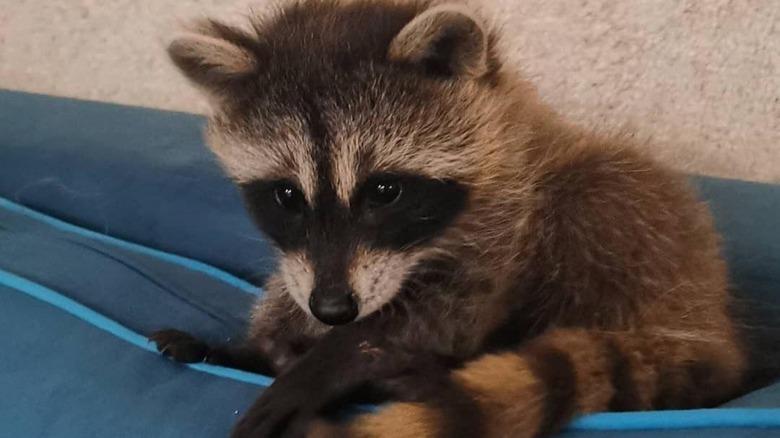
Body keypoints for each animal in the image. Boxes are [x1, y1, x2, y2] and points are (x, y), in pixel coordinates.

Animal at [149, 1, 752, 437]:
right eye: (287, 196)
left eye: (384, 191)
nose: (334, 309)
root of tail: (710, 325)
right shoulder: (313, 266)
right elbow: (291, 289)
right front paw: (259, 345)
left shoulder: (510, 213)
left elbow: (449, 314)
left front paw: (336, 359)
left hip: (637, 233)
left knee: (600, 193)